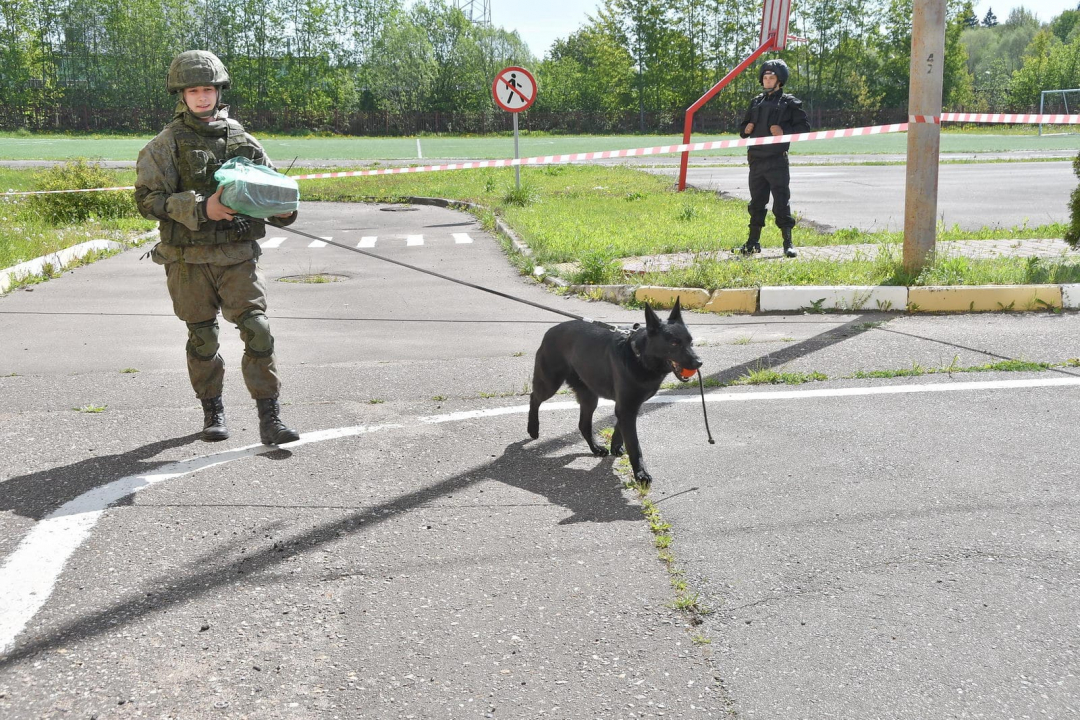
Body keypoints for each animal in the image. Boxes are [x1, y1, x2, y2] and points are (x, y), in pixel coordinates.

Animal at [529, 297, 699, 483]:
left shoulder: (628, 407)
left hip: (589, 396)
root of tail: (549, 331)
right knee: (534, 397)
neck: (640, 357)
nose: (699, 362)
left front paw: (616, 446)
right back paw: (533, 428)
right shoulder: (626, 408)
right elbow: (634, 444)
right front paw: (641, 473)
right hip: (550, 384)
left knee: (583, 424)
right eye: (674, 343)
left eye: (691, 341)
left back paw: (595, 448)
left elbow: (619, 427)